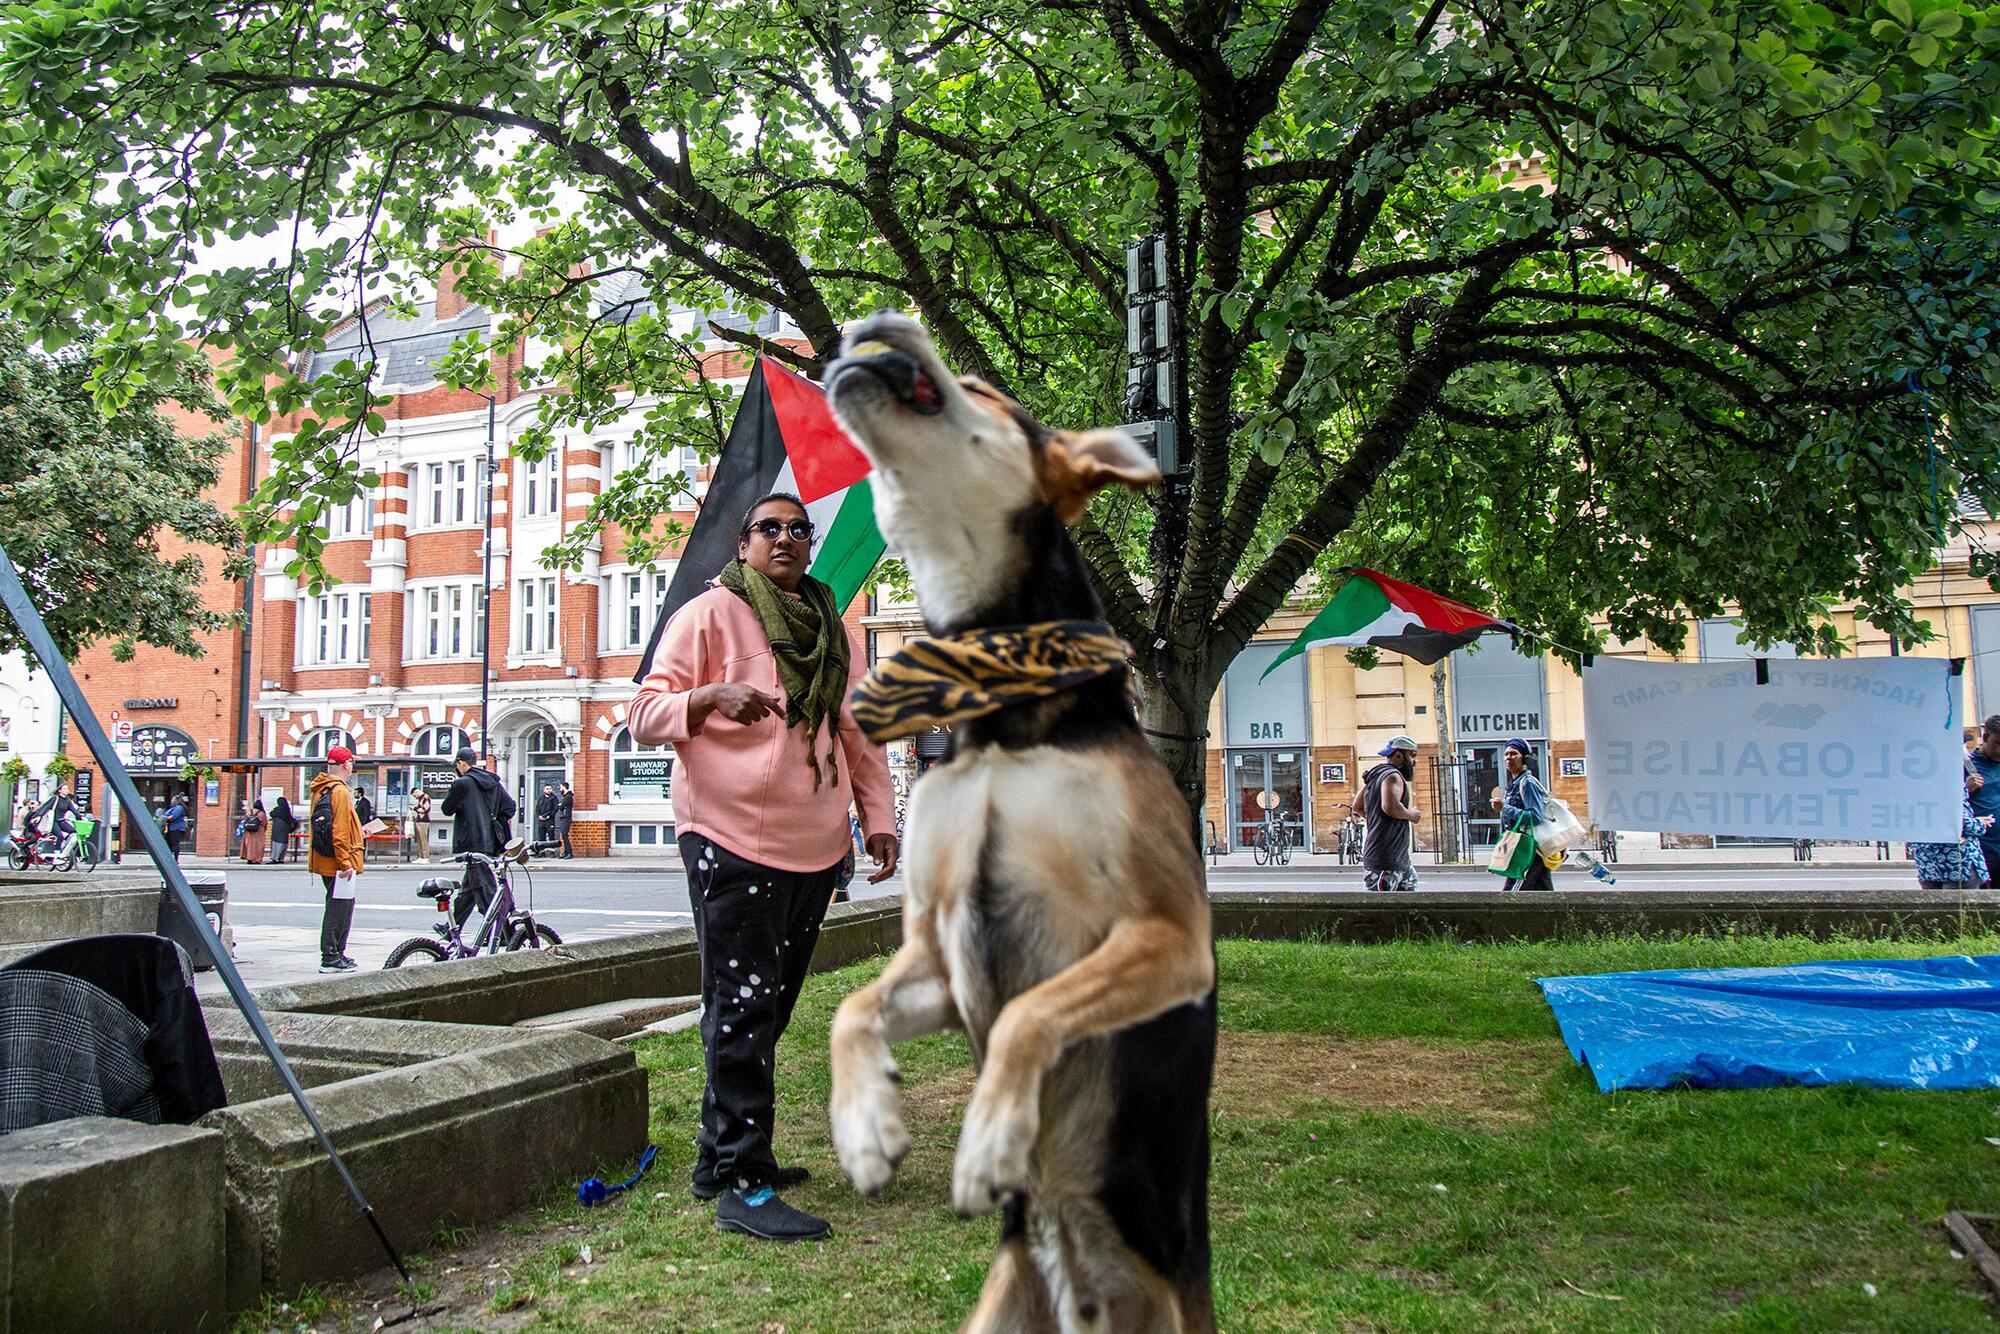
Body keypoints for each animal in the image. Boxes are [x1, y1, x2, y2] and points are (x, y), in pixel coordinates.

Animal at [820, 316, 1208, 1334]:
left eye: (987, 388)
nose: (872, 320)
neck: (1001, 708)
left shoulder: (1170, 935)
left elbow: (1033, 1014)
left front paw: (990, 1140)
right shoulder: (935, 953)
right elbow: (848, 1007)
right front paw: (866, 1128)